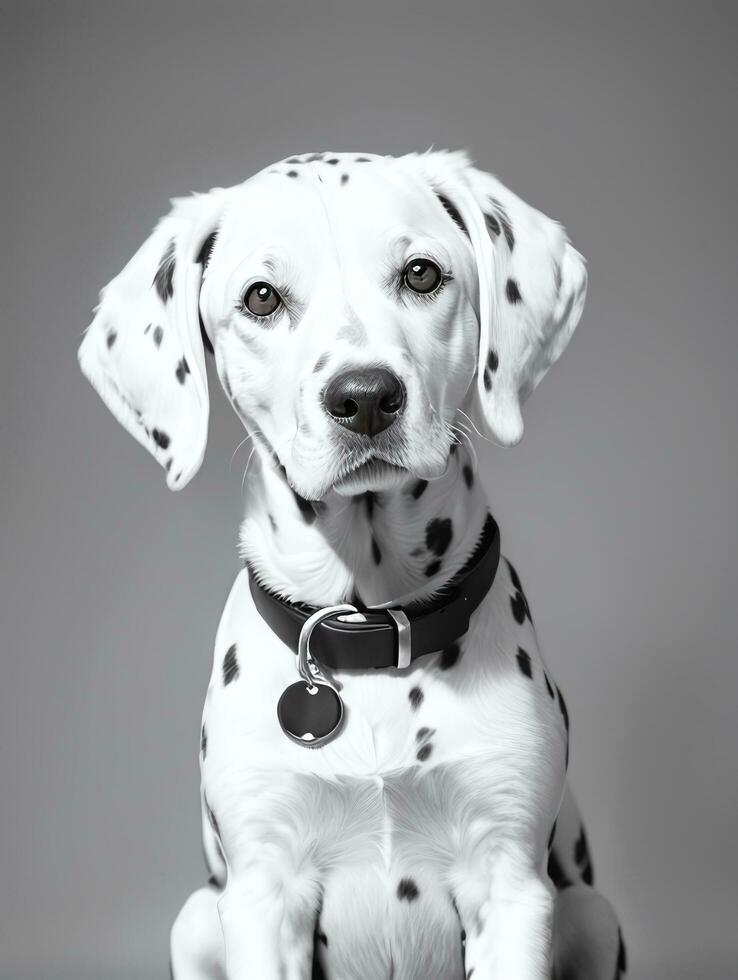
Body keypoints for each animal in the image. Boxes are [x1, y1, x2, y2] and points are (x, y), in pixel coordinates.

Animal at [79, 149, 620, 976]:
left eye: (422, 274)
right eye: (262, 297)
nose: (365, 397)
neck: (368, 629)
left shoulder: (511, 886)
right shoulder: (262, 893)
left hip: (594, 913)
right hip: (196, 919)